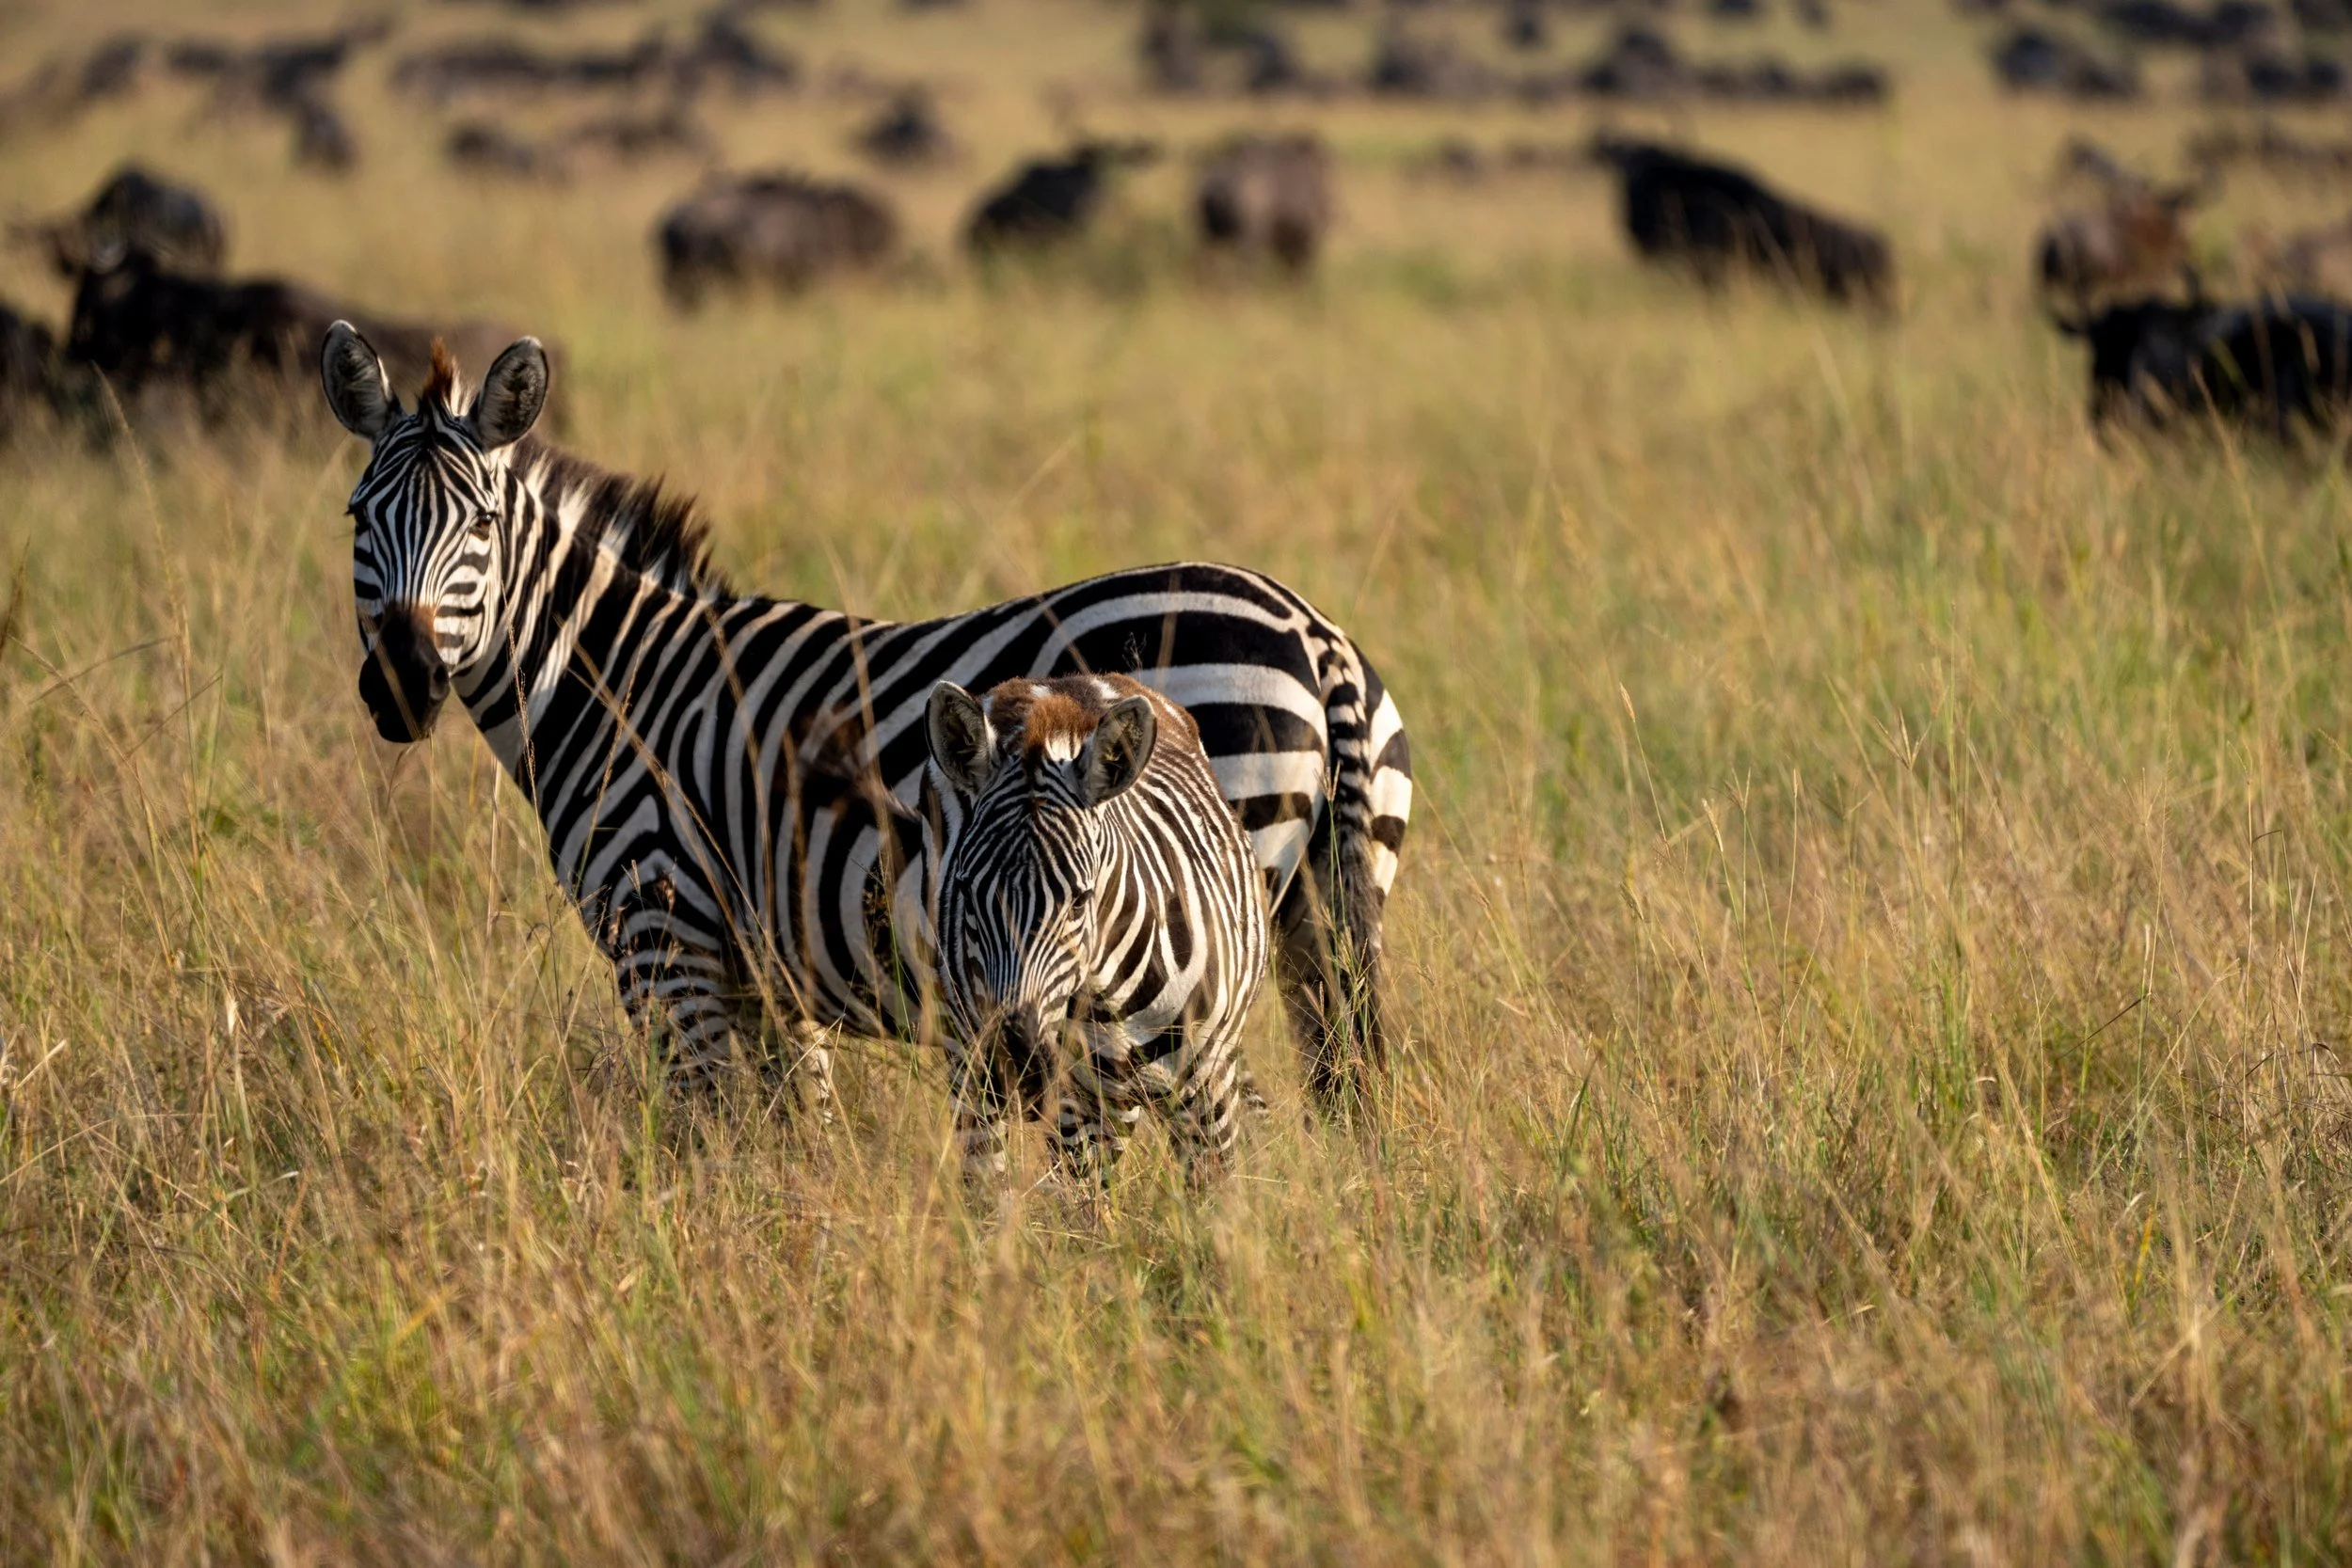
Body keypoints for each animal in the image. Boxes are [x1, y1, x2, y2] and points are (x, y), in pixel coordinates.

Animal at [317, 323, 1412, 1123]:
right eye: (357, 518)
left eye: (480, 525)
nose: (404, 682)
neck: (620, 681)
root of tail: (1312, 632)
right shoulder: (768, 971)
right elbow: (799, 1132)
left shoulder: (665, 939)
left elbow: (703, 1137)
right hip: (1313, 915)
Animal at [923, 674, 1269, 1180]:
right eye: (967, 889)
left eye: (1080, 901)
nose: (1016, 1069)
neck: (1109, 1000)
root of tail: (1053, 686)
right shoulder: (1076, 1109)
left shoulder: (1209, 1088)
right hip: (971, 1059)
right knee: (988, 1177)